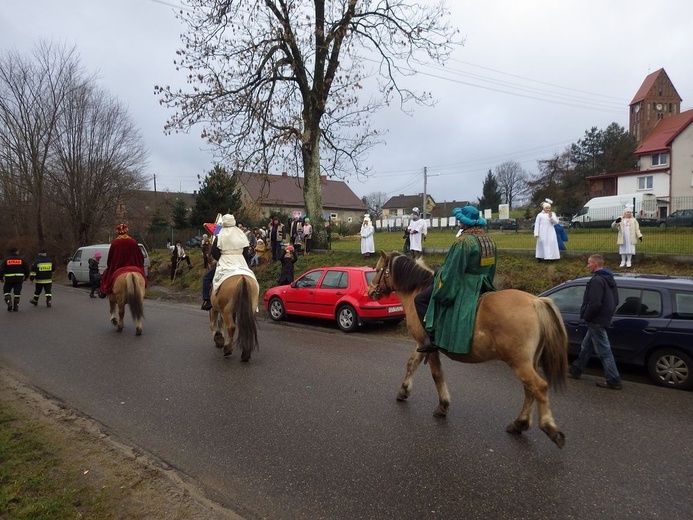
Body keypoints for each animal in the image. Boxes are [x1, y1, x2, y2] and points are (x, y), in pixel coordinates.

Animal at [368, 250, 568, 448]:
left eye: (377, 270)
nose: (369, 292)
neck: (417, 289)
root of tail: (535, 301)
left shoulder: (428, 347)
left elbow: (437, 375)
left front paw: (443, 405)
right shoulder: (420, 345)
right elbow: (411, 364)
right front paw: (403, 390)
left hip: (519, 362)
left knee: (539, 387)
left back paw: (549, 427)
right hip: (526, 362)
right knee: (529, 389)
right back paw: (520, 423)